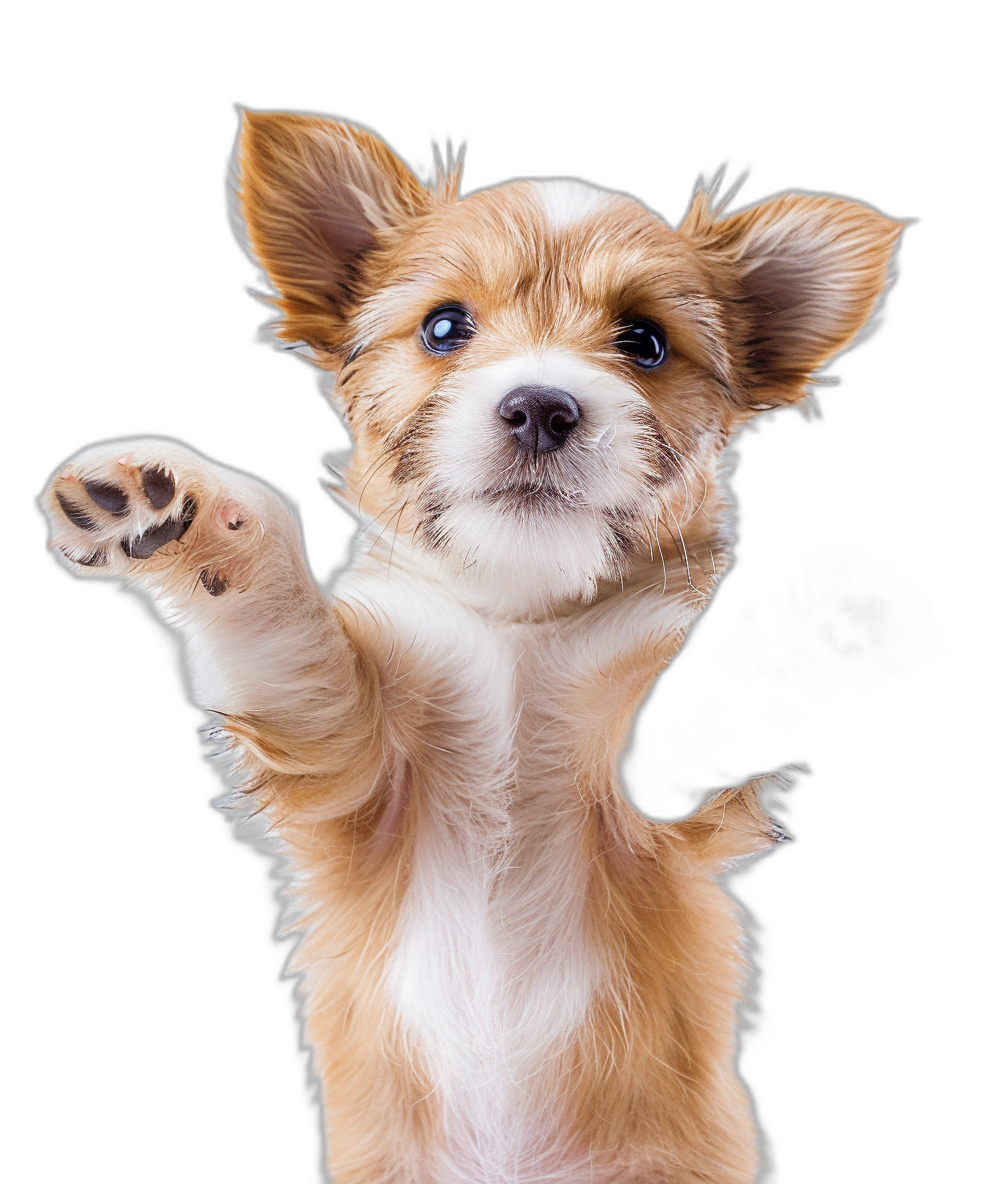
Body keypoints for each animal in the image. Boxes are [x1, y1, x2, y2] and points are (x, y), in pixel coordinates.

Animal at [41, 106, 904, 1179]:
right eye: (445, 327)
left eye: (644, 342)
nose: (540, 406)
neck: (518, 625)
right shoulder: (352, 760)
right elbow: (292, 624)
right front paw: (181, 510)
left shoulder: (670, 814)